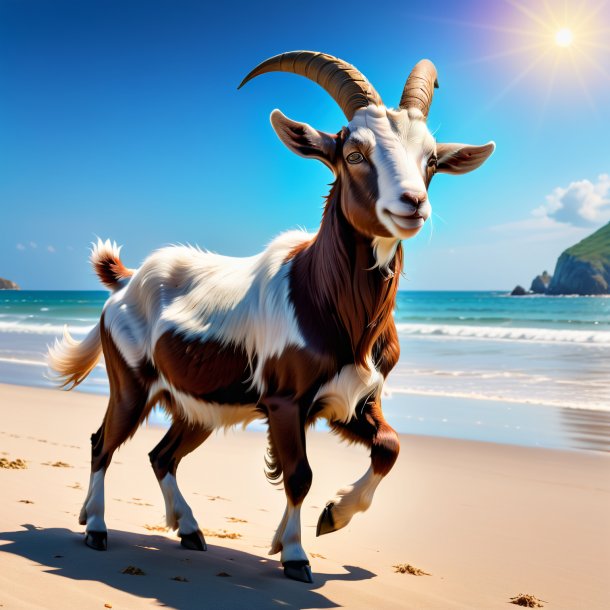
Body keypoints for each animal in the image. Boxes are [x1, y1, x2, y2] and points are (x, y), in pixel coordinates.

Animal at [48, 50, 494, 580]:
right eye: (354, 153)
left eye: (430, 160)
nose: (413, 205)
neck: (323, 298)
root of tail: (126, 281)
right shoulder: (285, 402)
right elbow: (299, 474)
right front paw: (297, 554)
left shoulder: (352, 401)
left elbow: (389, 445)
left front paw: (328, 518)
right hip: (132, 384)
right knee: (103, 442)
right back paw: (96, 528)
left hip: (202, 405)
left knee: (162, 455)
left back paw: (189, 530)